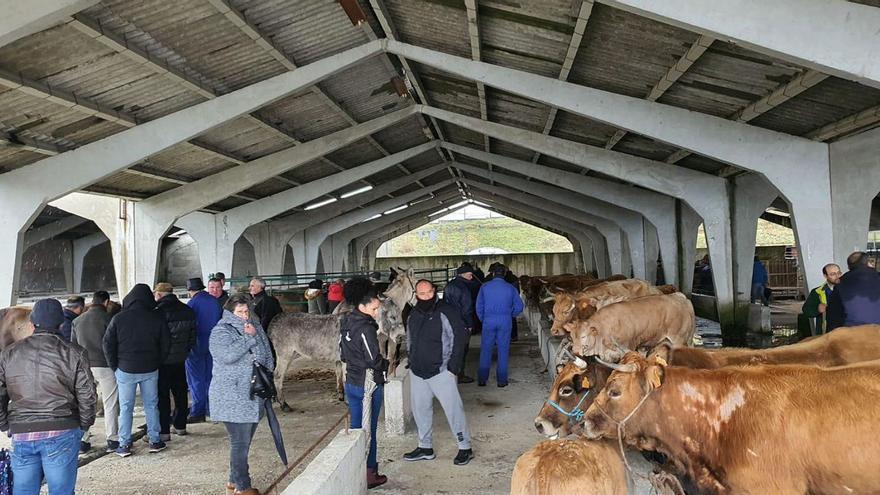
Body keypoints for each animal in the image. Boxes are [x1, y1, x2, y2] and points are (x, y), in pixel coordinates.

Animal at [564, 292, 696, 362]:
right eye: (572, 337)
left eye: (584, 336)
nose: (575, 351)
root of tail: (677, 296)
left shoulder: (627, 347)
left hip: (678, 339)